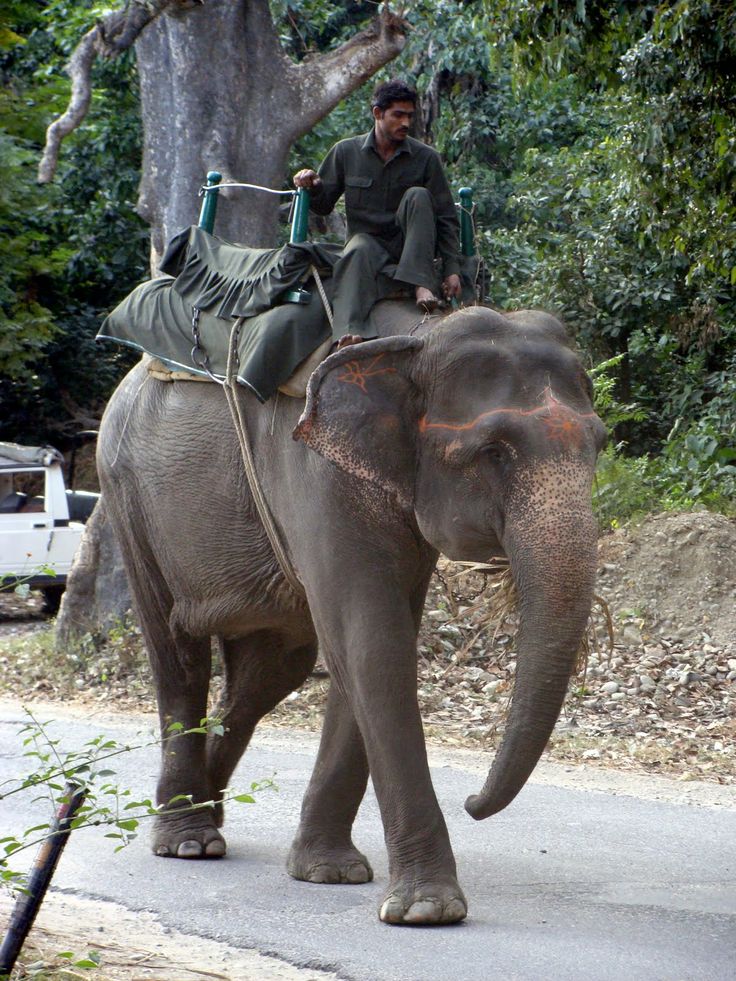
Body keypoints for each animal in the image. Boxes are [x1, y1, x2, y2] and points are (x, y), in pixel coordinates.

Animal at [96, 300, 604, 928]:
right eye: (492, 452)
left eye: (600, 444)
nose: (472, 802)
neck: (414, 338)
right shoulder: (315, 473)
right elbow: (373, 643)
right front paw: (427, 910)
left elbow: (365, 646)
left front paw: (328, 873)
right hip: (127, 499)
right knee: (179, 656)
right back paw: (188, 839)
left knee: (272, 673)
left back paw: (206, 813)